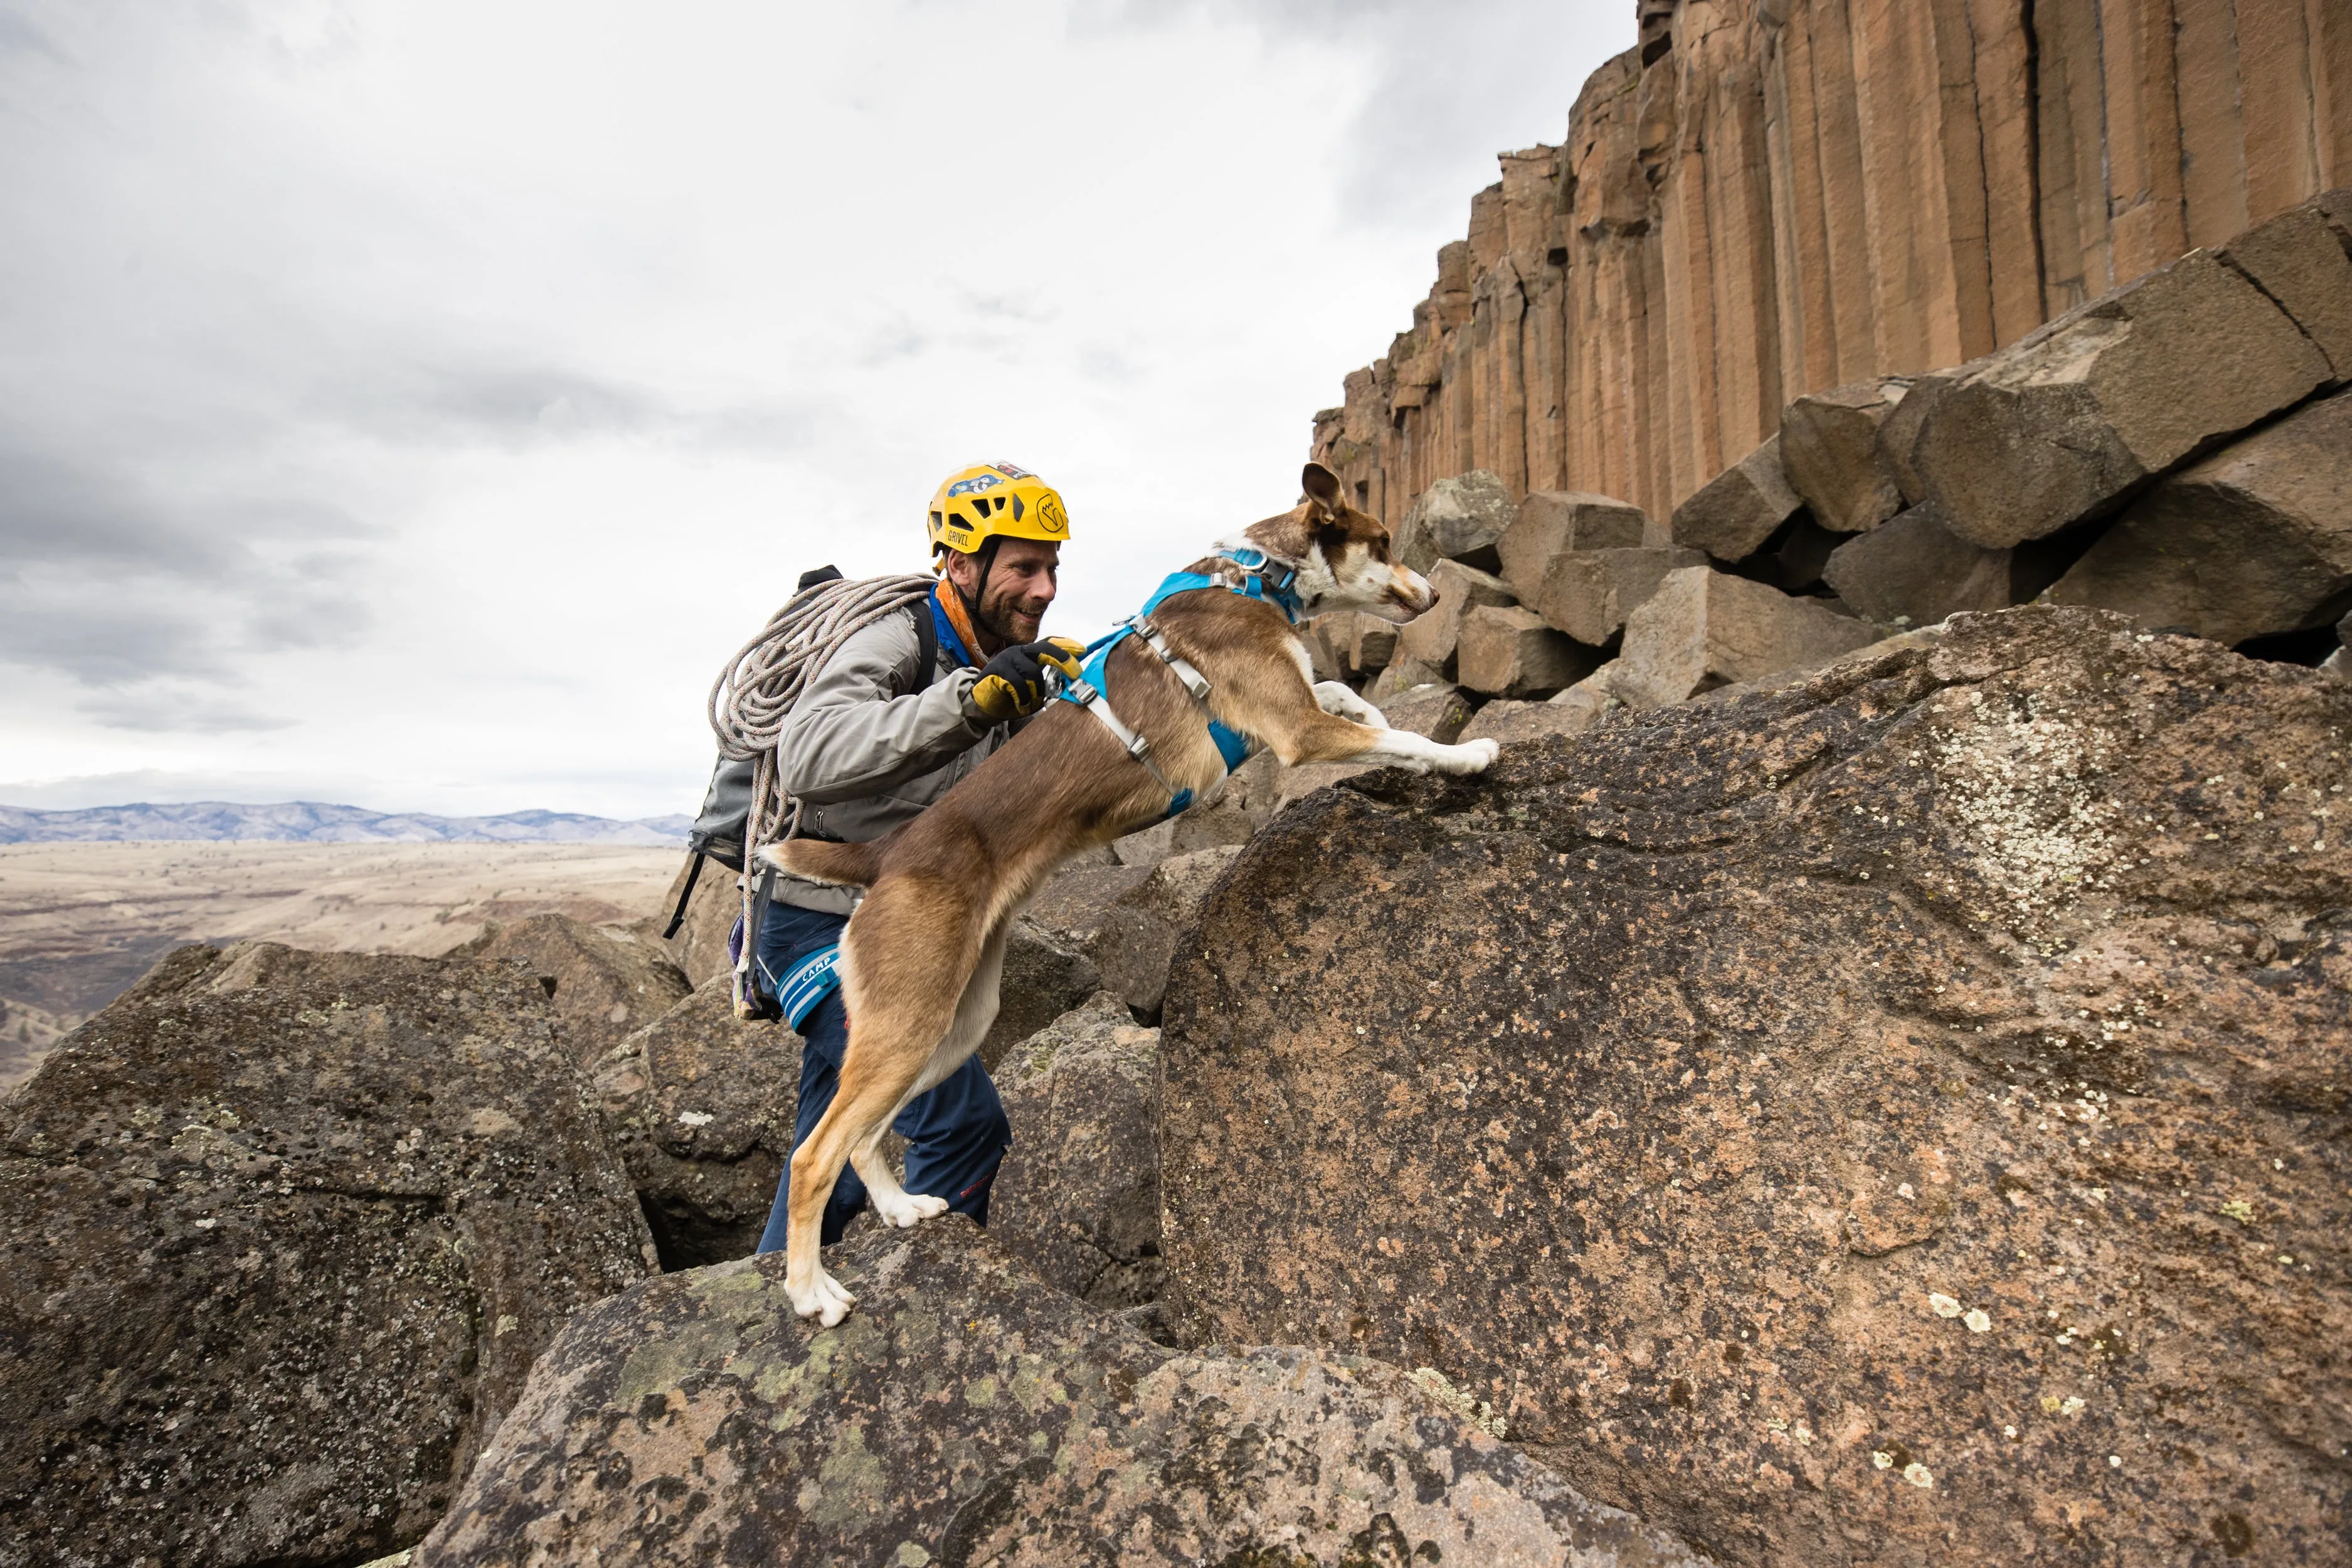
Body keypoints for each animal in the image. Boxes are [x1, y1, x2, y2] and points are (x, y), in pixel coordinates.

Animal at [762, 456, 1496, 1325]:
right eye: (1382, 543)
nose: (1435, 596)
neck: (1257, 576)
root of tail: (886, 857)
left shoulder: (1296, 703)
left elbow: (1349, 698)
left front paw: (1379, 706)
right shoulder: (1295, 730)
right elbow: (1403, 737)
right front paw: (1471, 751)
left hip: (953, 1023)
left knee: (867, 1137)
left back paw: (902, 1208)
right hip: (909, 1019)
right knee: (814, 1156)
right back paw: (811, 1293)